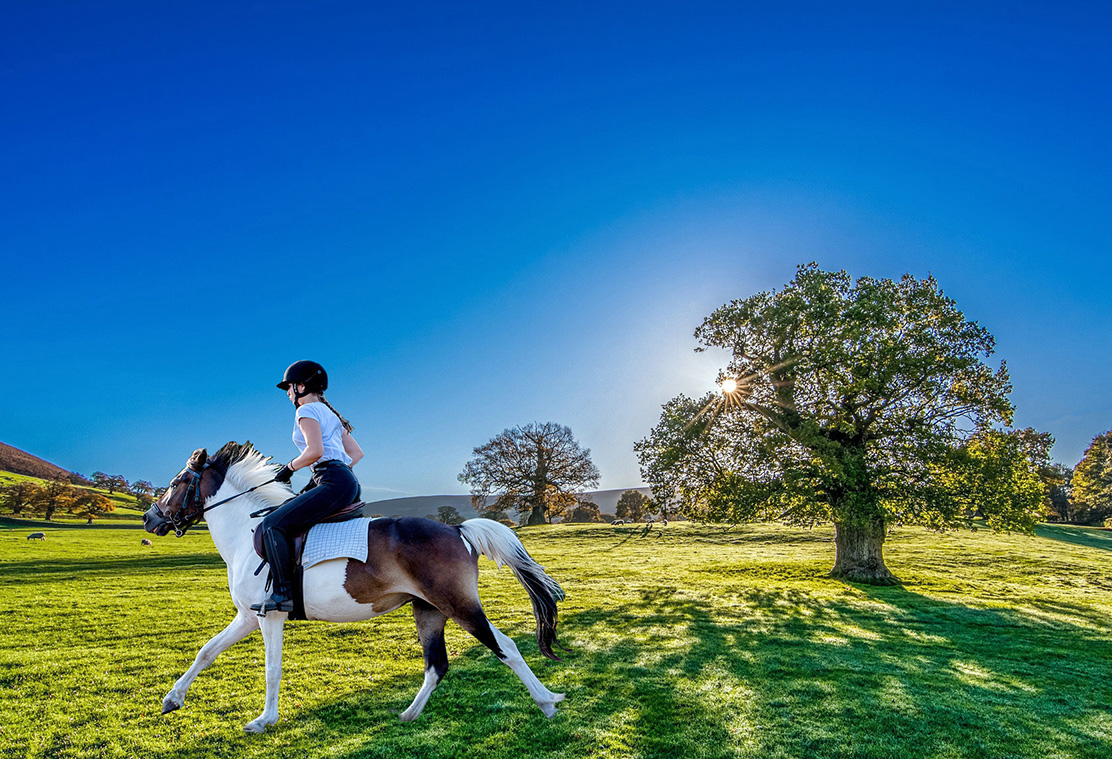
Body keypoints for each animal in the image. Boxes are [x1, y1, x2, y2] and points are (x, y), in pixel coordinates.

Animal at [141, 442, 564, 733]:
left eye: (177, 483)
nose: (149, 518)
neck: (246, 532)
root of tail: (457, 529)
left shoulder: (270, 616)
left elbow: (272, 669)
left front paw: (264, 720)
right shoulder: (248, 616)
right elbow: (206, 652)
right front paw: (171, 699)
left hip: (459, 605)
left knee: (505, 647)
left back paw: (547, 701)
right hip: (428, 610)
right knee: (436, 665)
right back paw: (408, 714)